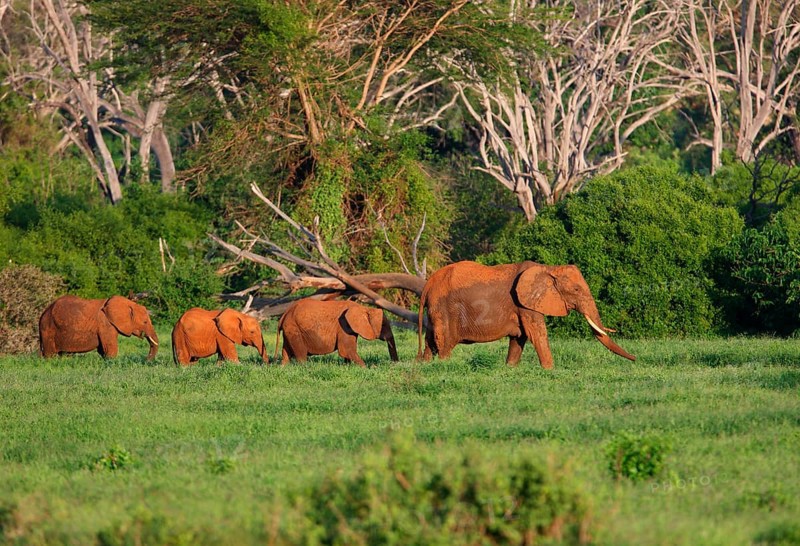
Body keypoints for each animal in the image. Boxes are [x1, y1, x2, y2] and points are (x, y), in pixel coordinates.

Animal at [417, 261, 635, 368]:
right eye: (575, 290)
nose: (635, 359)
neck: (548, 268)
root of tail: (428, 284)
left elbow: (519, 337)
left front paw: (510, 369)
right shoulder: (525, 303)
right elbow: (536, 333)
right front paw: (550, 370)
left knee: (430, 342)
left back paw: (424, 366)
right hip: (444, 308)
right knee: (444, 344)